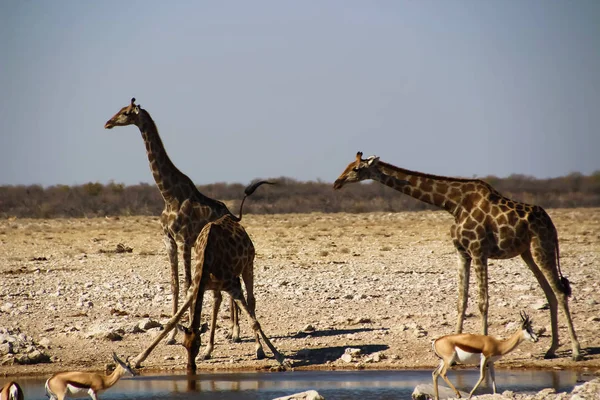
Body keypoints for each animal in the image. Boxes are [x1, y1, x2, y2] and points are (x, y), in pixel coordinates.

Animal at [104, 98, 245, 348]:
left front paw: (186, 329)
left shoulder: (184, 241)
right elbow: (175, 284)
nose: (108, 123)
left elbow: (188, 283)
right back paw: (231, 331)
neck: (169, 195)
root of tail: (230, 214)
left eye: (126, 112)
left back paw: (235, 332)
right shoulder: (168, 240)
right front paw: (170, 336)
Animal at [129, 181, 288, 372]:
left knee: (251, 300)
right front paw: (138, 358)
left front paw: (280, 357)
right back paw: (212, 349)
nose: (191, 367)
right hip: (220, 284)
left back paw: (258, 349)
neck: (207, 258)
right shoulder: (196, 287)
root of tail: (231, 219)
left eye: (197, 344)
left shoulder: (232, 285)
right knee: (218, 302)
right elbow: (172, 321)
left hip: (248, 265)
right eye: (184, 345)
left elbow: (254, 321)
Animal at [332, 152, 580, 360]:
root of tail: (551, 224)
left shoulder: (479, 251)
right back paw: (551, 349)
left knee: (559, 291)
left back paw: (576, 351)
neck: (453, 204)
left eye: (356, 168)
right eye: (347, 165)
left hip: (542, 247)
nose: (337, 183)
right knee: (550, 292)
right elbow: (461, 300)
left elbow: (482, 302)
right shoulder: (462, 253)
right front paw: (454, 343)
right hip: (527, 252)